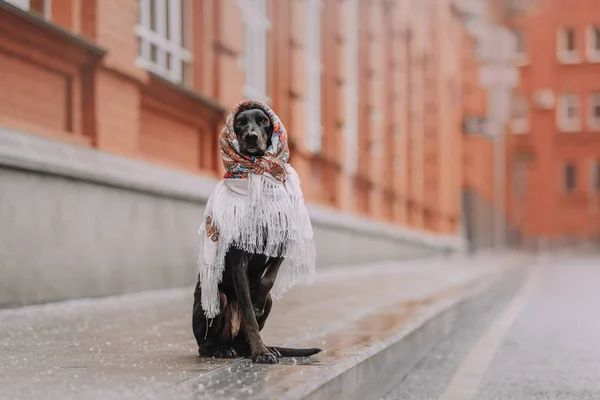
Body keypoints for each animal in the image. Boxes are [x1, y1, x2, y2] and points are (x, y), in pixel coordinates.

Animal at [193, 106, 324, 362]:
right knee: (205, 345)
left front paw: (257, 303)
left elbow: (268, 280)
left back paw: (259, 347)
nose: (251, 137)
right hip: (215, 300)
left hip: (269, 302)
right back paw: (225, 349)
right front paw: (260, 352)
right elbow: (248, 314)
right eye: (239, 122)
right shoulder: (239, 261)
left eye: (264, 121)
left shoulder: (280, 245)